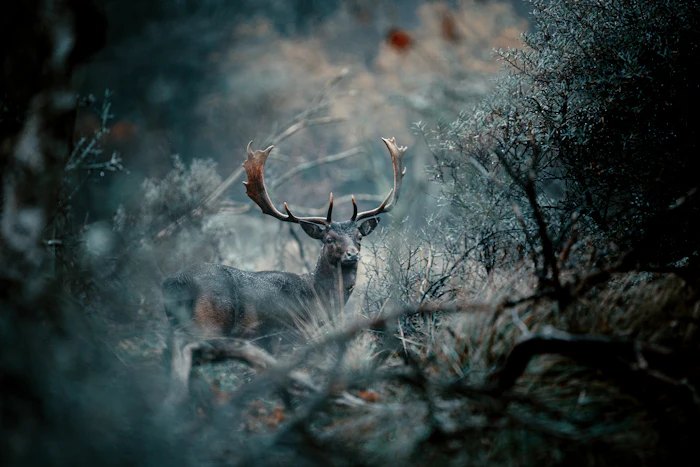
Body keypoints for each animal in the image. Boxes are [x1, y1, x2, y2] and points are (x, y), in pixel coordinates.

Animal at [162, 137, 407, 345]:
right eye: (328, 239)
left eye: (359, 237)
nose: (352, 254)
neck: (317, 302)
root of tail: (173, 284)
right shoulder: (289, 334)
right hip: (209, 323)